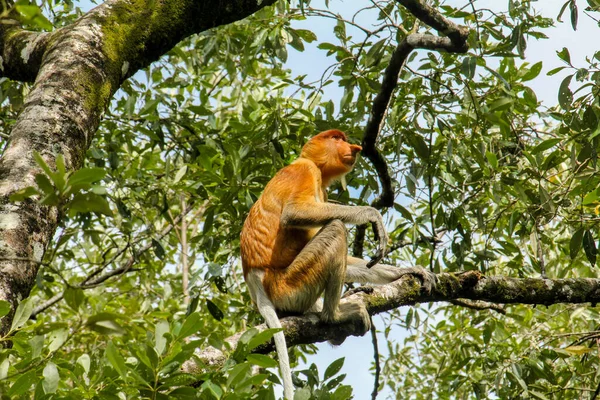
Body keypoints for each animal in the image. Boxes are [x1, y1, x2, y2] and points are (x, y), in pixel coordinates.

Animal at [240, 130, 436, 398]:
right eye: (337, 138)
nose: (354, 147)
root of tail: (256, 281)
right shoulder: (305, 171)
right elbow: (294, 213)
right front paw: (371, 215)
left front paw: (412, 270)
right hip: (290, 285)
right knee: (336, 228)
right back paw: (334, 316)